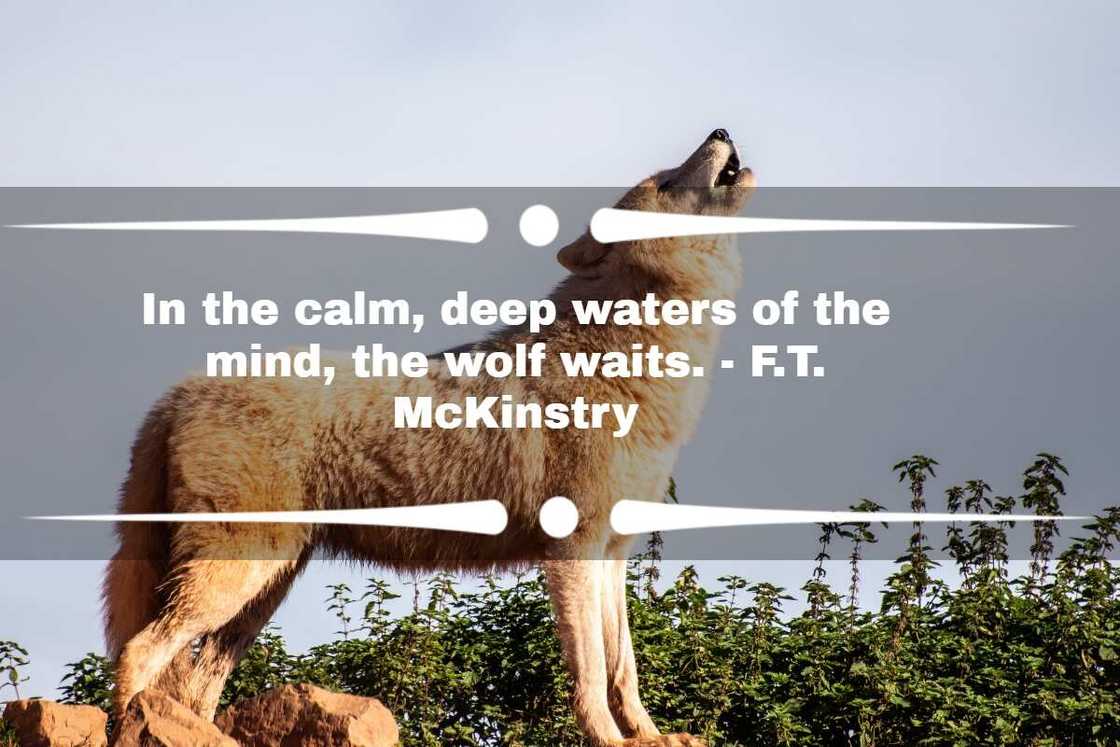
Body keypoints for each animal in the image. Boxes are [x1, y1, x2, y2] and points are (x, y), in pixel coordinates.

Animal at [103, 129, 755, 746]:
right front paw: (608, 739)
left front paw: (651, 735)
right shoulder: (572, 549)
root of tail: (176, 394)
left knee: (195, 683)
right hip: (236, 574)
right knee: (139, 651)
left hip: (262, 588)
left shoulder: (613, 552)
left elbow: (625, 666)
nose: (722, 130)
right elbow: (591, 670)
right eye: (666, 182)